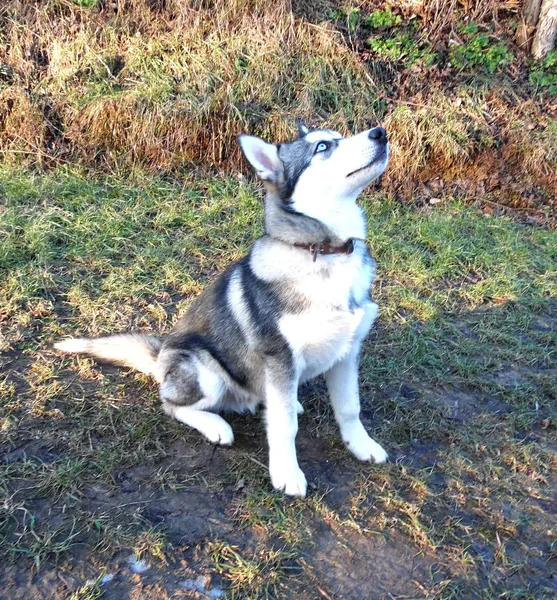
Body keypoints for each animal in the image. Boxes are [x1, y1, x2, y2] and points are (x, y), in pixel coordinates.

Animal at [55, 123, 386, 496]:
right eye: (323, 147)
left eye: (339, 135)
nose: (380, 132)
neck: (326, 253)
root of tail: (161, 358)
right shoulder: (280, 356)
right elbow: (285, 426)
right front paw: (287, 473)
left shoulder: (348, 350)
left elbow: (349, 407)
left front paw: (362, 445)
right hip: (206, 372)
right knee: (171, 404)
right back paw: (215, 424)